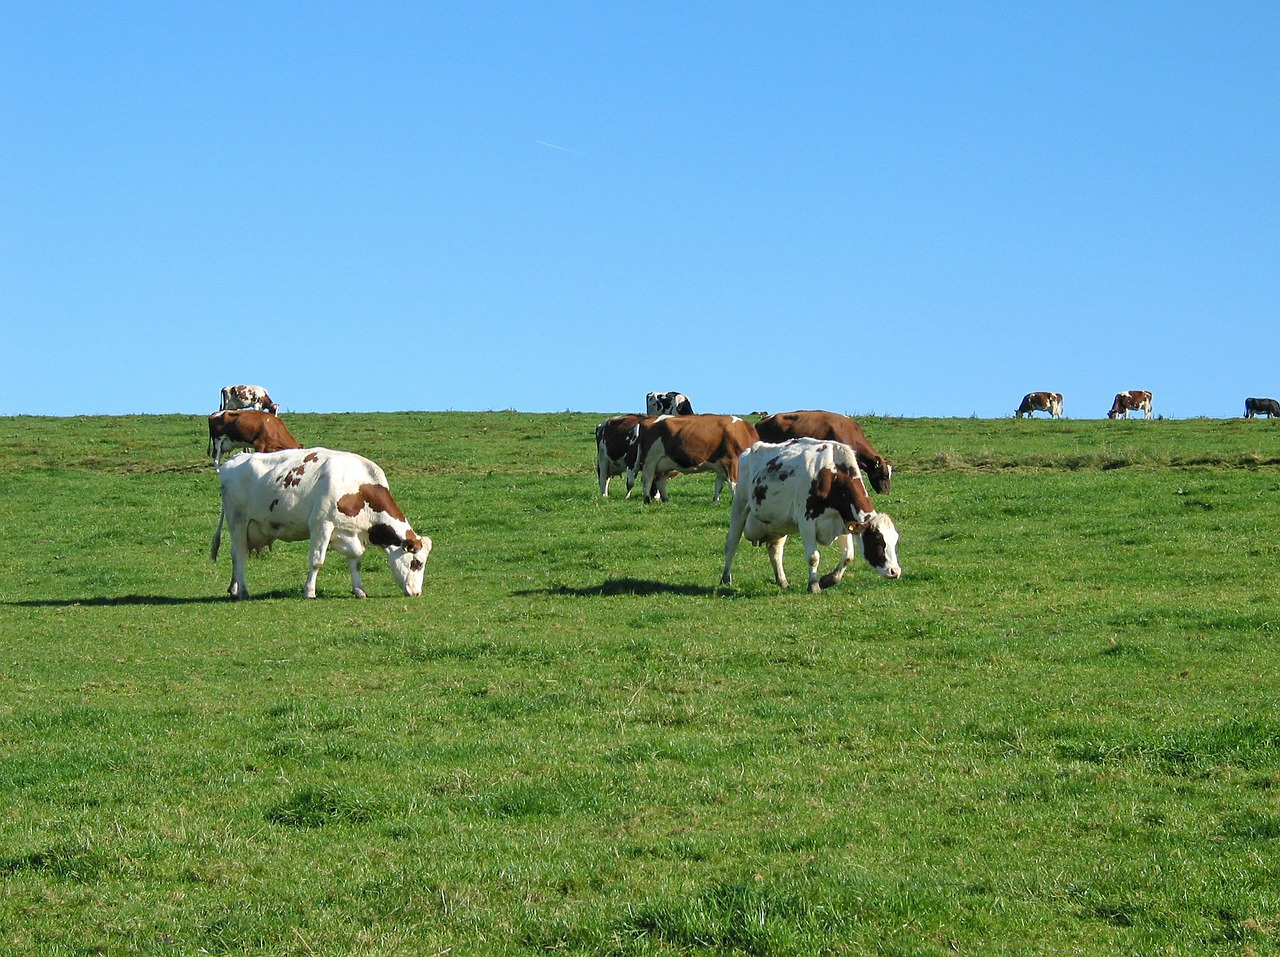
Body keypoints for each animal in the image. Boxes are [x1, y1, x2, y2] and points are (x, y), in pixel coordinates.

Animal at [207, 447, 432, 598]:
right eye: (417, 563)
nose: (417, 593)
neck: (358, 488)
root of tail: (235, 458)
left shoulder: (353, 533)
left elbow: (356, 562)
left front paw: (359, 590)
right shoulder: (321, 525)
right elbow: (317, 561)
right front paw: (309, 591)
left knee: (239, 554)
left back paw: (234, 588)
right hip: (237, 520)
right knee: (239, 554)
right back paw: (243, 591)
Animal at [721, 440, 901, 591]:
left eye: (895, 540)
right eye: (877, 540)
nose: (895, 571)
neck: (832, 473)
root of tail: (749, 450)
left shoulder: (842, 521)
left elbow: (848, 556)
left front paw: (828, 580)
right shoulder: (806, 521)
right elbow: (814, 557)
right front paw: (814, 585)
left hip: (779, 523)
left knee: (775, 550)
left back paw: (782, 581)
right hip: (739, 505)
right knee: (732, 543)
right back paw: (725, 578)